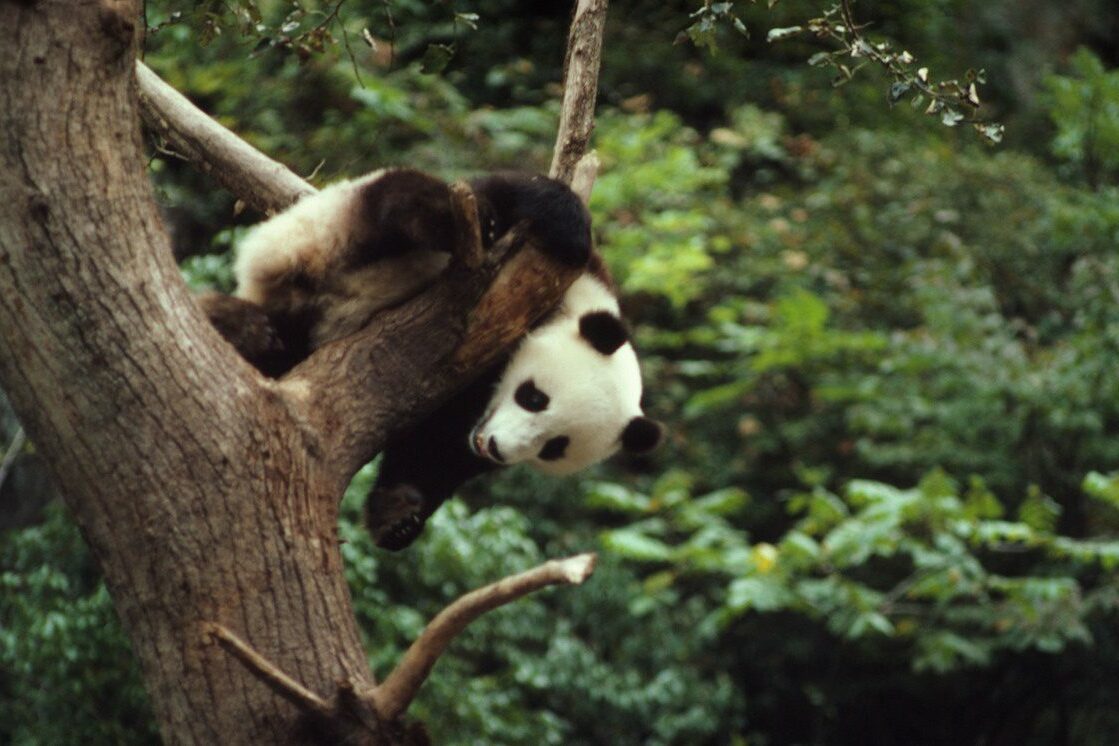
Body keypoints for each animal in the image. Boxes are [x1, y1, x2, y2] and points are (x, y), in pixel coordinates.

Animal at [201, 172, 657, 552]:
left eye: (554, 448)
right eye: (534, 398)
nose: (495, 448)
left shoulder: (461, 414)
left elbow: (434, 450)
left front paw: (399, 516)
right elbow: (515, 193)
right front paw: (566, 223)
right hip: (317, 238)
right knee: (393, 204)